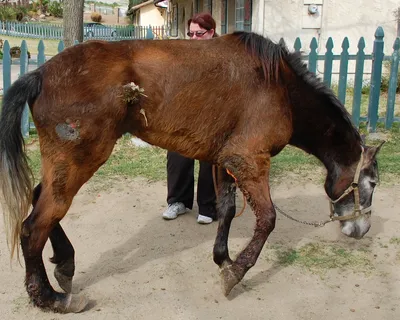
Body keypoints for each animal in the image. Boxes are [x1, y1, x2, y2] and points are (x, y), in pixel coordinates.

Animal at [0, 32, 382, 312]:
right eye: (372, 183)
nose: (361, 229)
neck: (280, 87)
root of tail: (39, 74)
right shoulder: (249, 161)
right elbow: (268, 219)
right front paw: (235, 272)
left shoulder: (225, 162)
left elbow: (226, 210)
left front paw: (223, 259)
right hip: (79, 162)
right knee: (33, 226)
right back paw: (50, 298)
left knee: (40, 201)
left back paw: (65, 264)